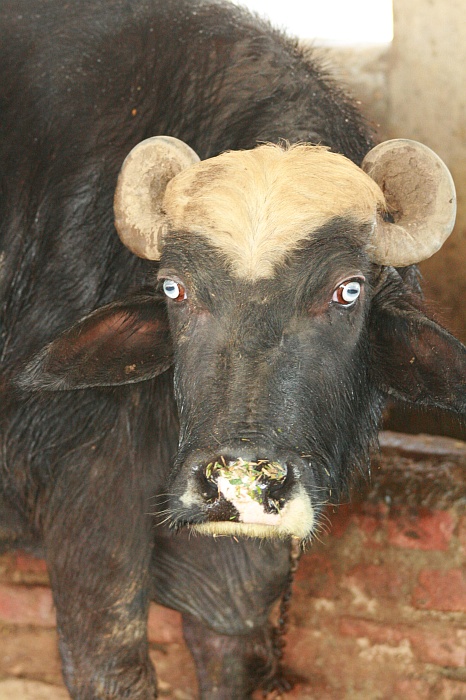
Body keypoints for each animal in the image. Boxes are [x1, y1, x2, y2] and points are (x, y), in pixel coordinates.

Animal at [1, 0, 465, 698]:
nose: (236, 479)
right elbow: (113, 664)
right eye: (174, 288)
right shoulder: (85, 503)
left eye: (347, 290)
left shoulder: (237, 587)